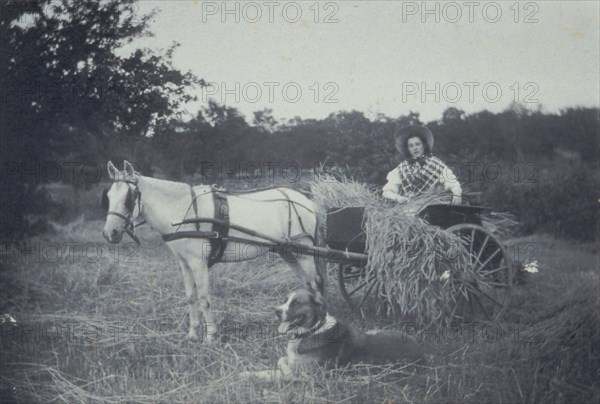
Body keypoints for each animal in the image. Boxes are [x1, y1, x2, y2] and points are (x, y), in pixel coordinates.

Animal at [102, 159, 324, 342]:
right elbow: (190, 296)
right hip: (289, 253)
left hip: (303, 253)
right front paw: (192, 334)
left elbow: (203, 298)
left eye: (129, 198)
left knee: (315, 284)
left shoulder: (198, 262)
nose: (110, 233)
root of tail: (305, 200)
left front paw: (210, 337)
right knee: (307, 284)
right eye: (109, 195)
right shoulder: (184, 263)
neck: (182, 210)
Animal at [239, 288, 422, 378]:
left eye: (296, 303)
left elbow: (280, 371)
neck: (313, 330)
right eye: (285, 300)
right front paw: (249, 371)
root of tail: (421, 351)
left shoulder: (306, 377)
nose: (276, 311)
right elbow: (278, 363)